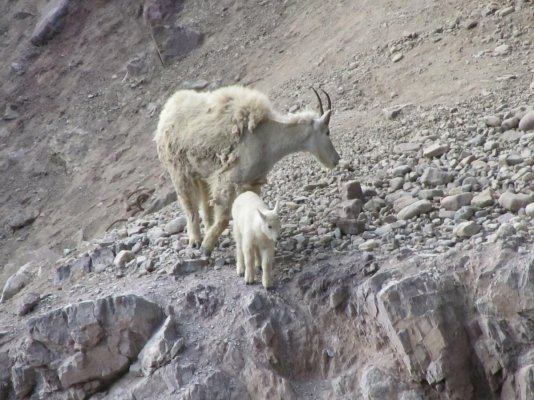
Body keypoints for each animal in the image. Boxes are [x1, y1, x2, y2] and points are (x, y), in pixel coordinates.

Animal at [153, 84, 342, 256]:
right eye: (327, 132)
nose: (336, 159)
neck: (268, 139)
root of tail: (167, 111)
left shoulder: (252, 181)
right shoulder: (227, 179)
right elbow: (223, 218)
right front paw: (206, 248)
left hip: (200, 174)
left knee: (205, 205)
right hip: (178, 169)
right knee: (189, 205)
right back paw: (196, 241)